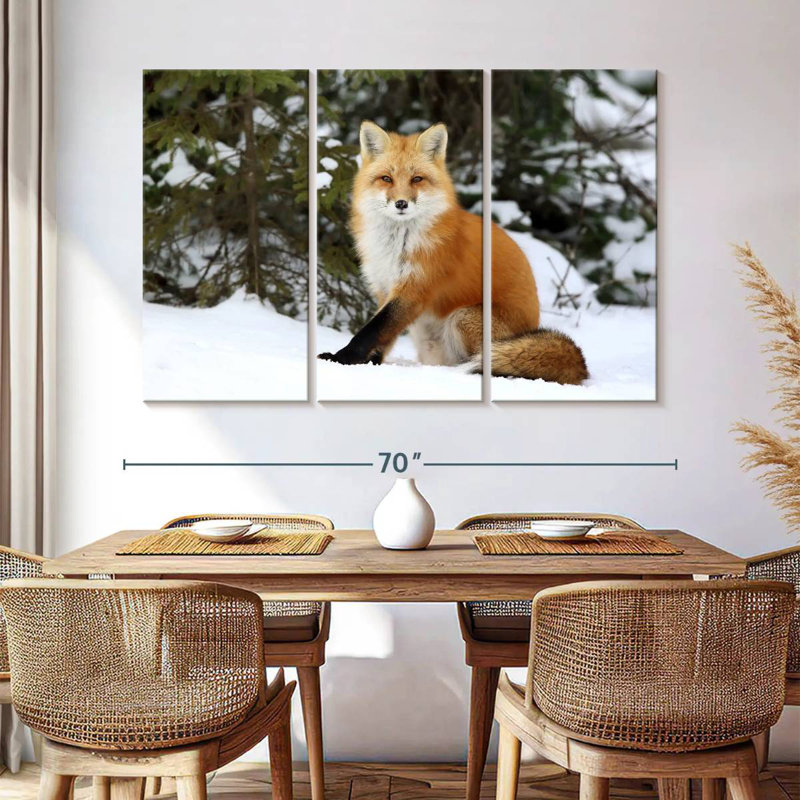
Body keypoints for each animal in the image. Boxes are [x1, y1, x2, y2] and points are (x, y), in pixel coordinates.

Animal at [318, 120, 588, 385]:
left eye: (417, 179)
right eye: (386, 178)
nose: (401, 203)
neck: (397, 243)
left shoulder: (415, 288)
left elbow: (371, 331)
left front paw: (340, 358)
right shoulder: (385, 287)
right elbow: (384, 334)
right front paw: (369, 364)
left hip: (463, 317)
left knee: (489, 360)